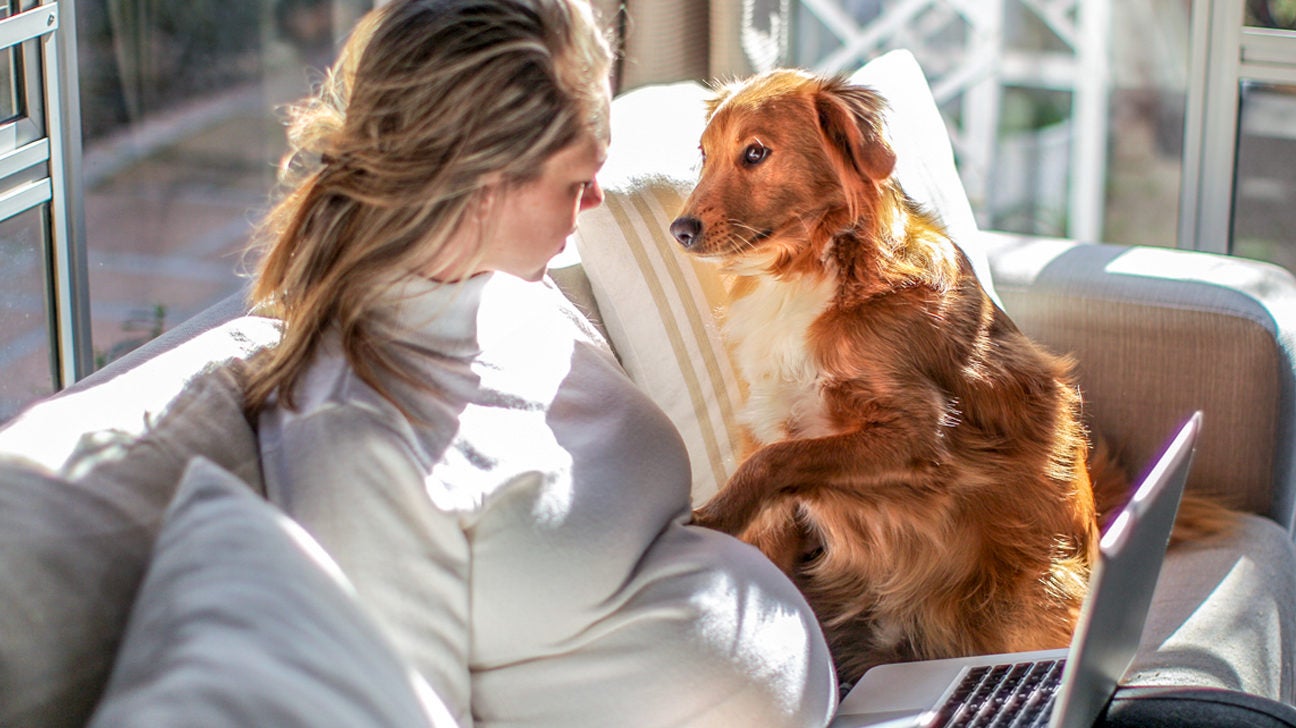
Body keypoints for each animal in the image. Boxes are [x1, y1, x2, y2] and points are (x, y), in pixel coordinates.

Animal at [673, 69, 1130, 683]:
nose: (679, 229)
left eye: (755, 153)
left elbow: (779, 462)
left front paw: (713, 516)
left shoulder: (919, 433)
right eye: (704, 154)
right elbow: (769, 511)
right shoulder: (770, 424)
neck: (815, 268)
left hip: (1031, 600)